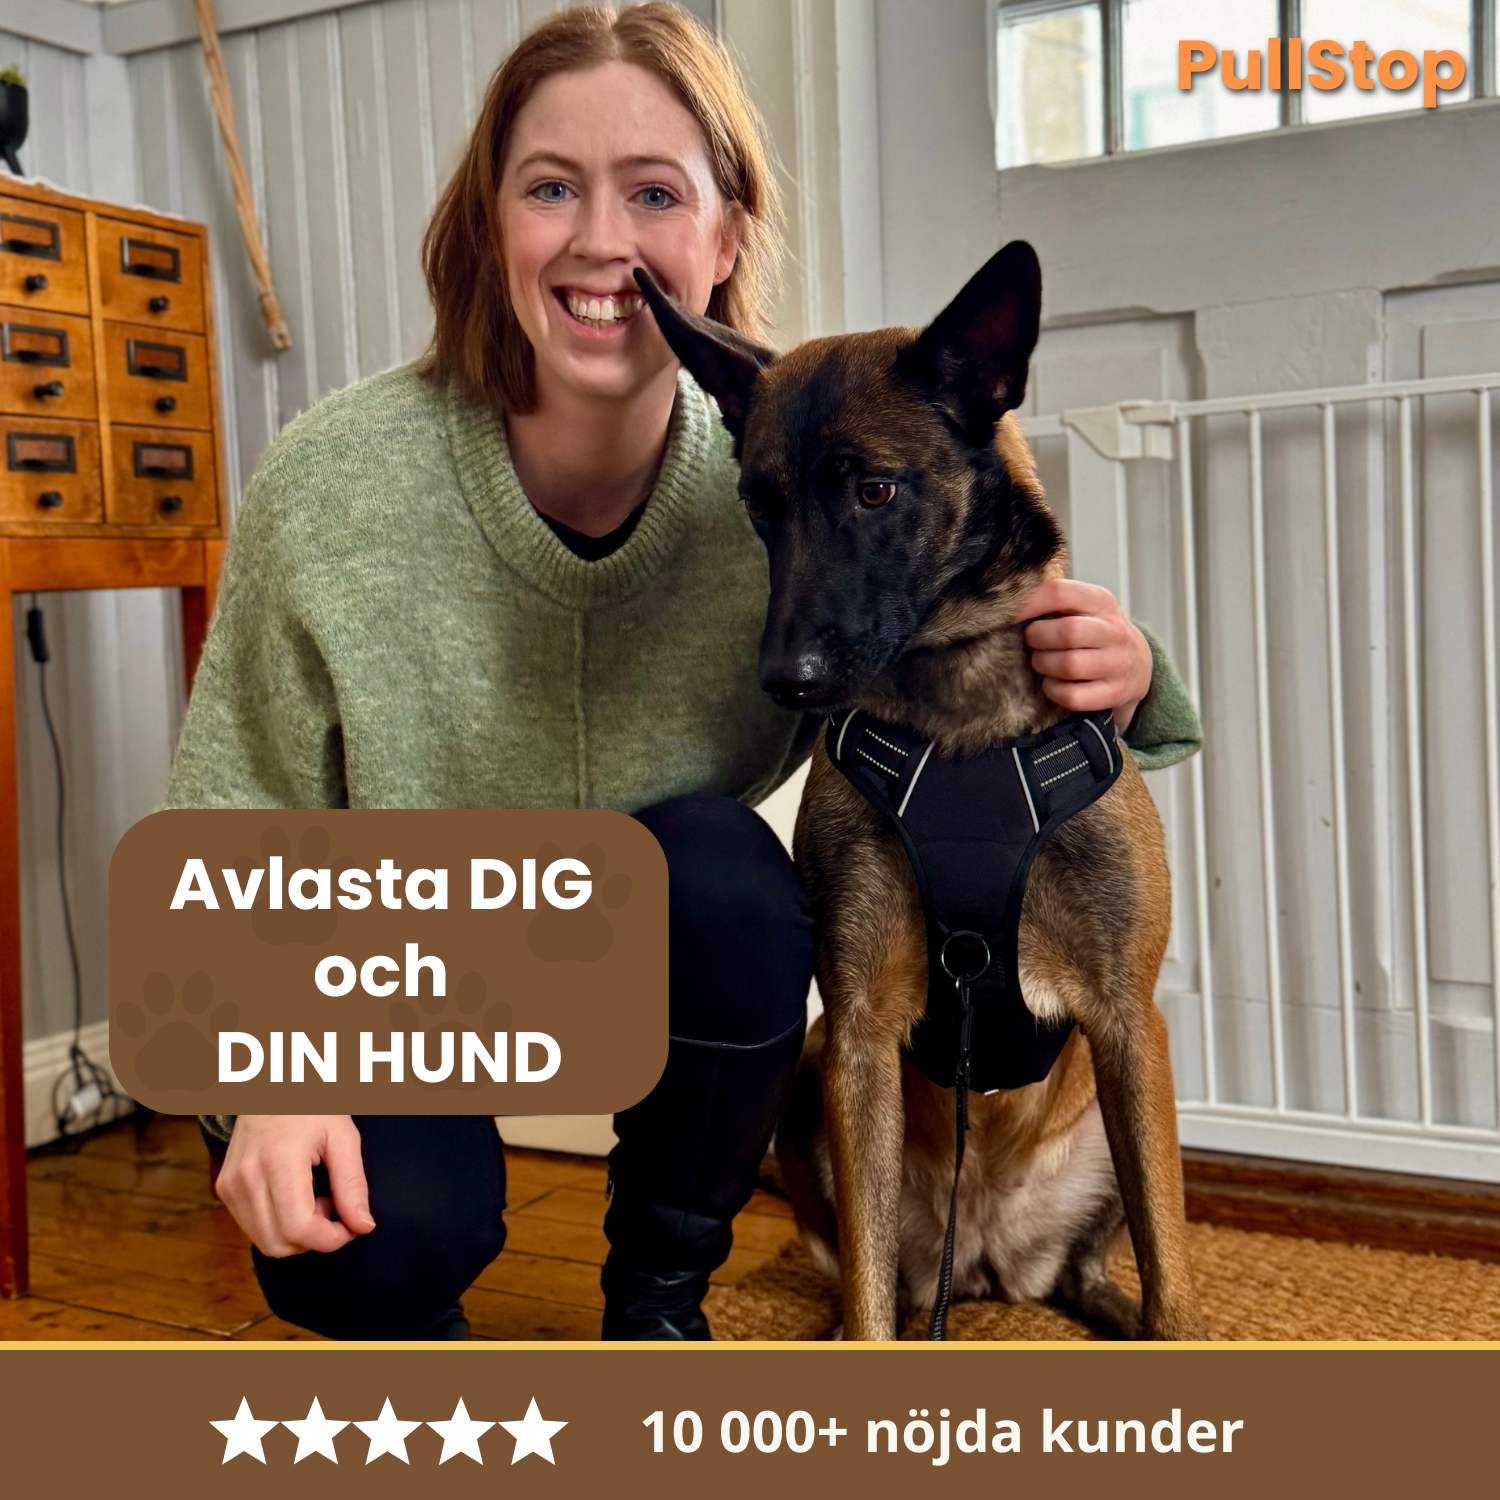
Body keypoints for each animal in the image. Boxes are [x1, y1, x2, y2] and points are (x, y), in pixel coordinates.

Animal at [636, 242, 1206, 1341]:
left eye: (874, 492)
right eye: (761, 508)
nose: (787, 680)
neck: (961, 710)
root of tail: (984, 1260)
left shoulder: (1130, 1023)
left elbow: (1173, 1275)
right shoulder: (856, 1027)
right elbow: (867, 1300)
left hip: (1136, 1111)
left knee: (1095, 1262)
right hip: (813, 1088)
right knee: (885, 1283)